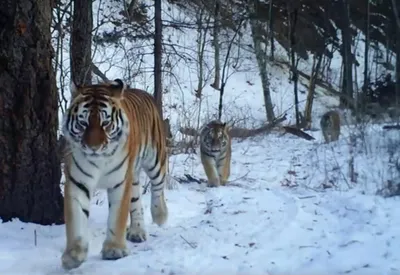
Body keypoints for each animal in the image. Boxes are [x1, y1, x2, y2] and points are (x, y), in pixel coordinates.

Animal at [61, 78, 169, 270]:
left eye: (105, 124)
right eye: (83, 123)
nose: (94, 148)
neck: (99, 161)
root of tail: (144, 92)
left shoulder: (120, 182)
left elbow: (117, 217)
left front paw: (114, 250)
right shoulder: (77, 182)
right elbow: (76, 219)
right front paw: (73, 256)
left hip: (156, 160)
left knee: (158, 187)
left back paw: (160, 216)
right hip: (134, 175)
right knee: (136, 202)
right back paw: (137, 231)